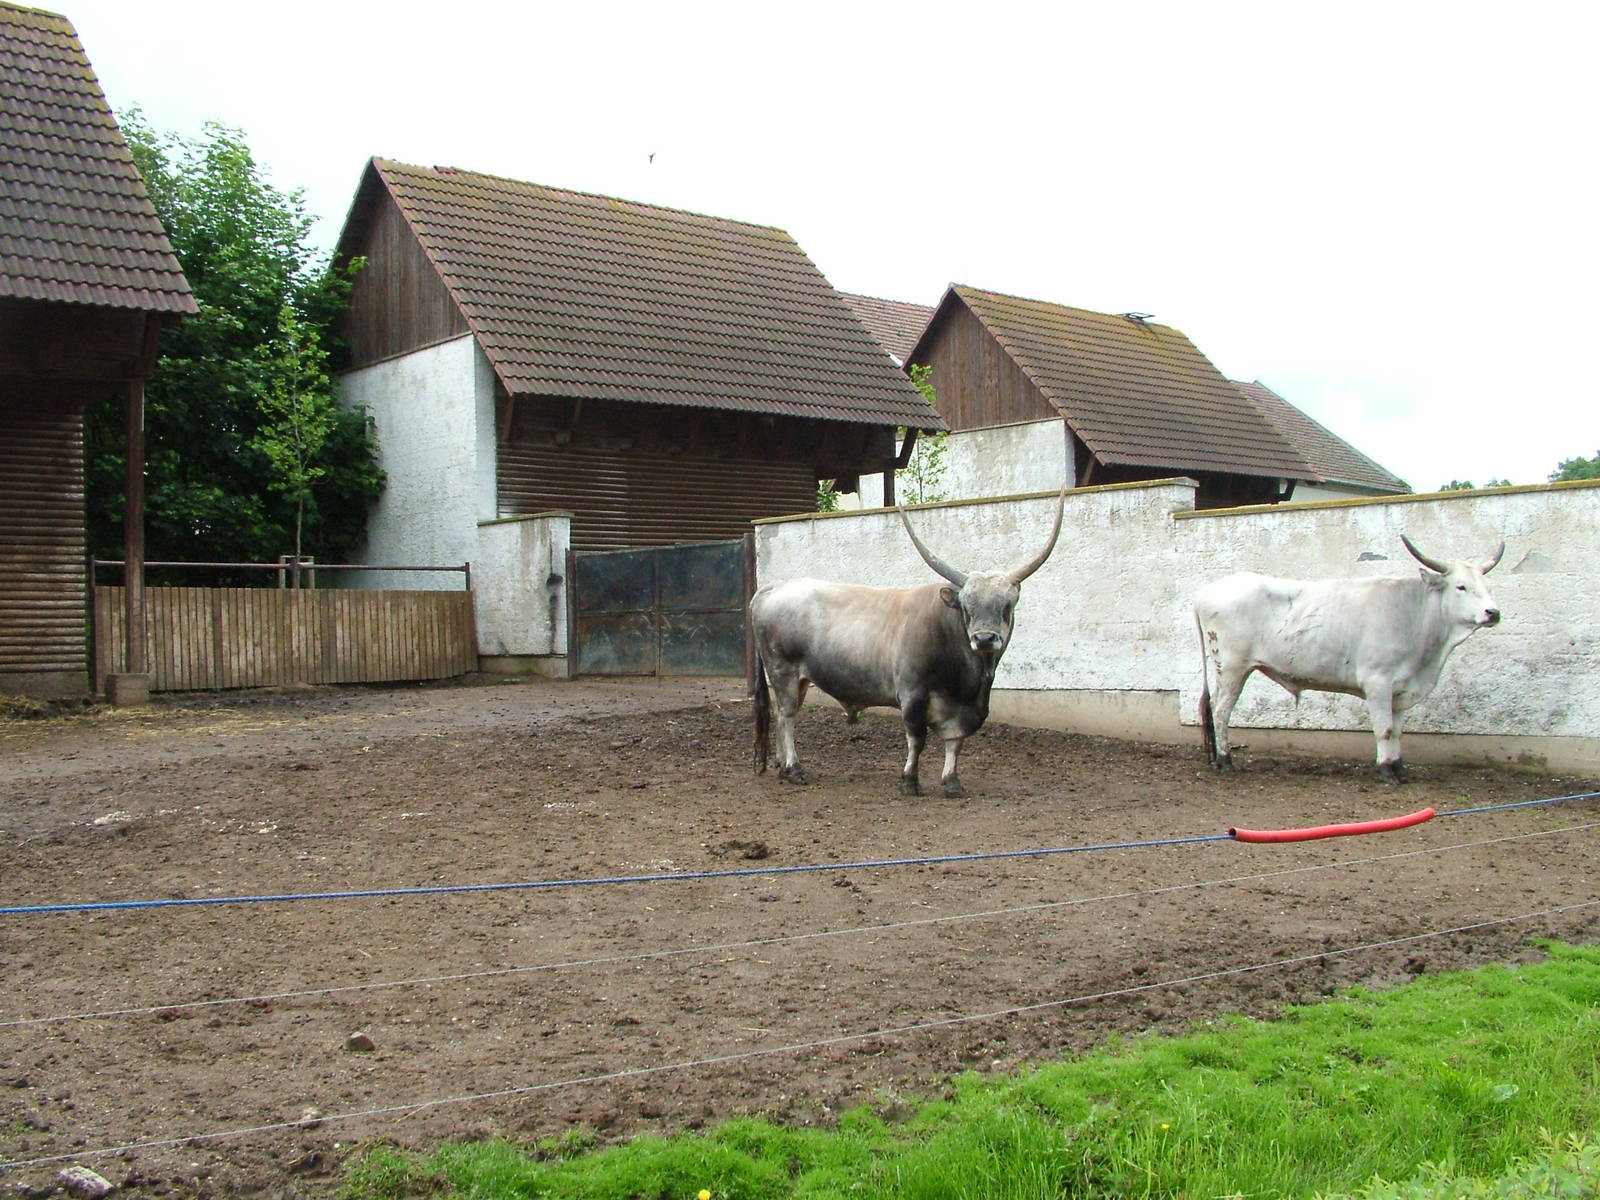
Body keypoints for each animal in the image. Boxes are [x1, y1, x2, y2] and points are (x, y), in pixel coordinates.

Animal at [751, 491, 1065, 796]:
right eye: (967, 607)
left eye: (1007, 606)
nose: (984, 638)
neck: (968, 679)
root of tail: (772, 588)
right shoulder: (913, 694)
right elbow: (917, 739)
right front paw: (909, 781)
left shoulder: (962, 708)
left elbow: (955, 742)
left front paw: (952, 781)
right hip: (782, 670)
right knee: (787, 716)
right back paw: (794, 769)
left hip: (800, 678)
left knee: (782, 716)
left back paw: (782, 766)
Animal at [1194, 534, 1505, 783]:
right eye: (1461, 586)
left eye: (1488, 586)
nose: (1493, 612)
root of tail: (1205, 593)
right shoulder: (1378, 682)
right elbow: (1384, 729)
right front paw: (1386, 770)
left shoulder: (1400, 689)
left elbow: (1398, 731)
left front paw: (1398, 767)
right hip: (1232, 668)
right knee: (1221, 711)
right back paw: (1225, 761)